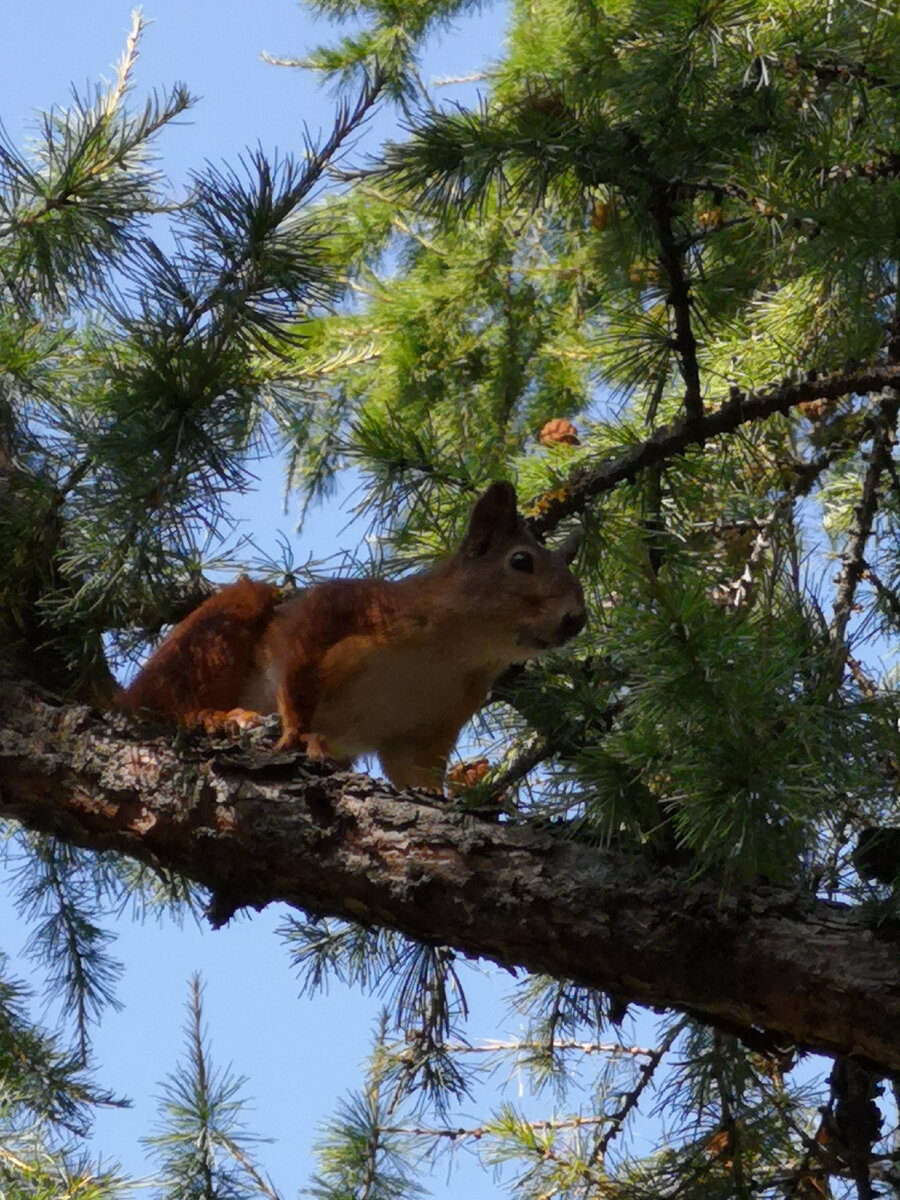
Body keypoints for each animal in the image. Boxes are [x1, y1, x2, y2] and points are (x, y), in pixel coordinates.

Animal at [121, 482, 585, 792]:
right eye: (520, 561)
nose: (576, 620)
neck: (455, 651)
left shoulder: (430, 726)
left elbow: (412, 771)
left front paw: (446, 799)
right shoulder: (343, 609)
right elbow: (295, 671)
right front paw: (298, 734)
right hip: (209, 641)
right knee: (161, 702)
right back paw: (210, 717)